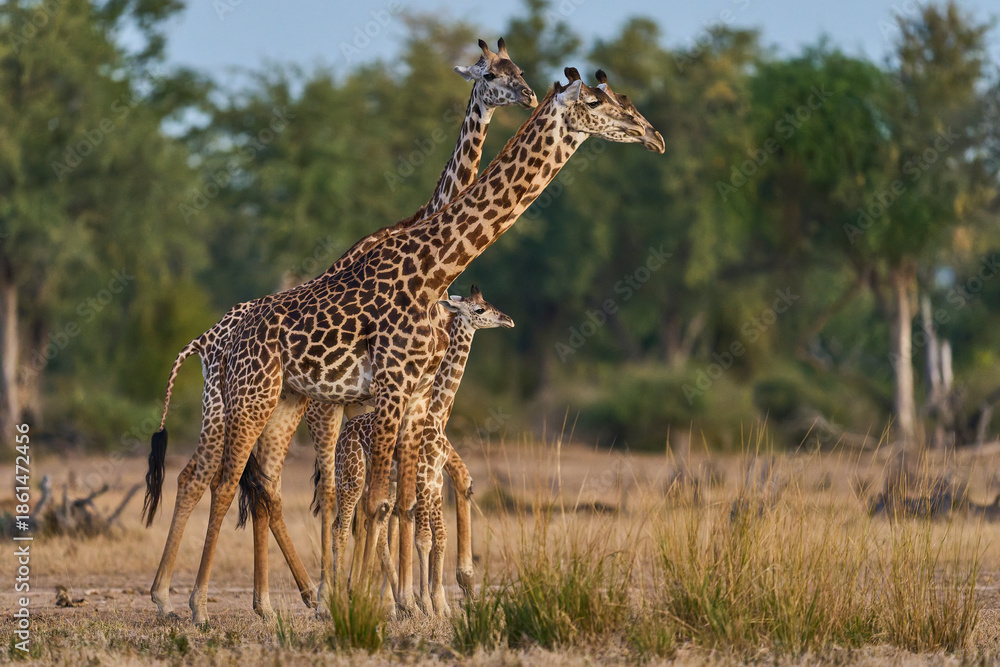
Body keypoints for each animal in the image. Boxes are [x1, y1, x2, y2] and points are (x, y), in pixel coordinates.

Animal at [326, 287, 513, 616]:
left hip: (377, 480)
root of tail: (345, 435)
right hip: (351, 476)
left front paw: (434, 604)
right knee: (342, 526)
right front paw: (428, 604)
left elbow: (436, 535)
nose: (508, 320)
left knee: (371, 526)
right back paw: (341, 599)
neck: (437, 413)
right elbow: (425, 537)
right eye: (479, 309)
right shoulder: (425, 476)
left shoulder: (434, 479)